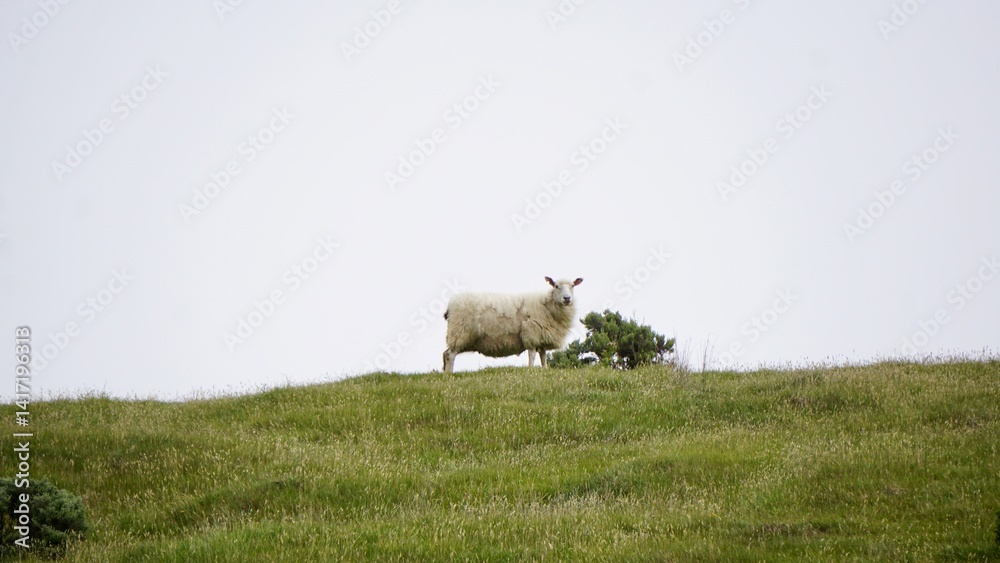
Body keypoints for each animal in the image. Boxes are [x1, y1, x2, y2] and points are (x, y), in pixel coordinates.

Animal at [442, 277, 583, 373]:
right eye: (556, 286)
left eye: (572, 286)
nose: (567, 298)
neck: (547, 305)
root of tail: (450, 306)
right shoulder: (531, 333)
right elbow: (532, 354)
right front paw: (531, 370)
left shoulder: (542, 336)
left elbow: (543, 356)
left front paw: (545, 369)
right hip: (459, 332)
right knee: (450, 355)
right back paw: (450, 374)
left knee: (445, 354)